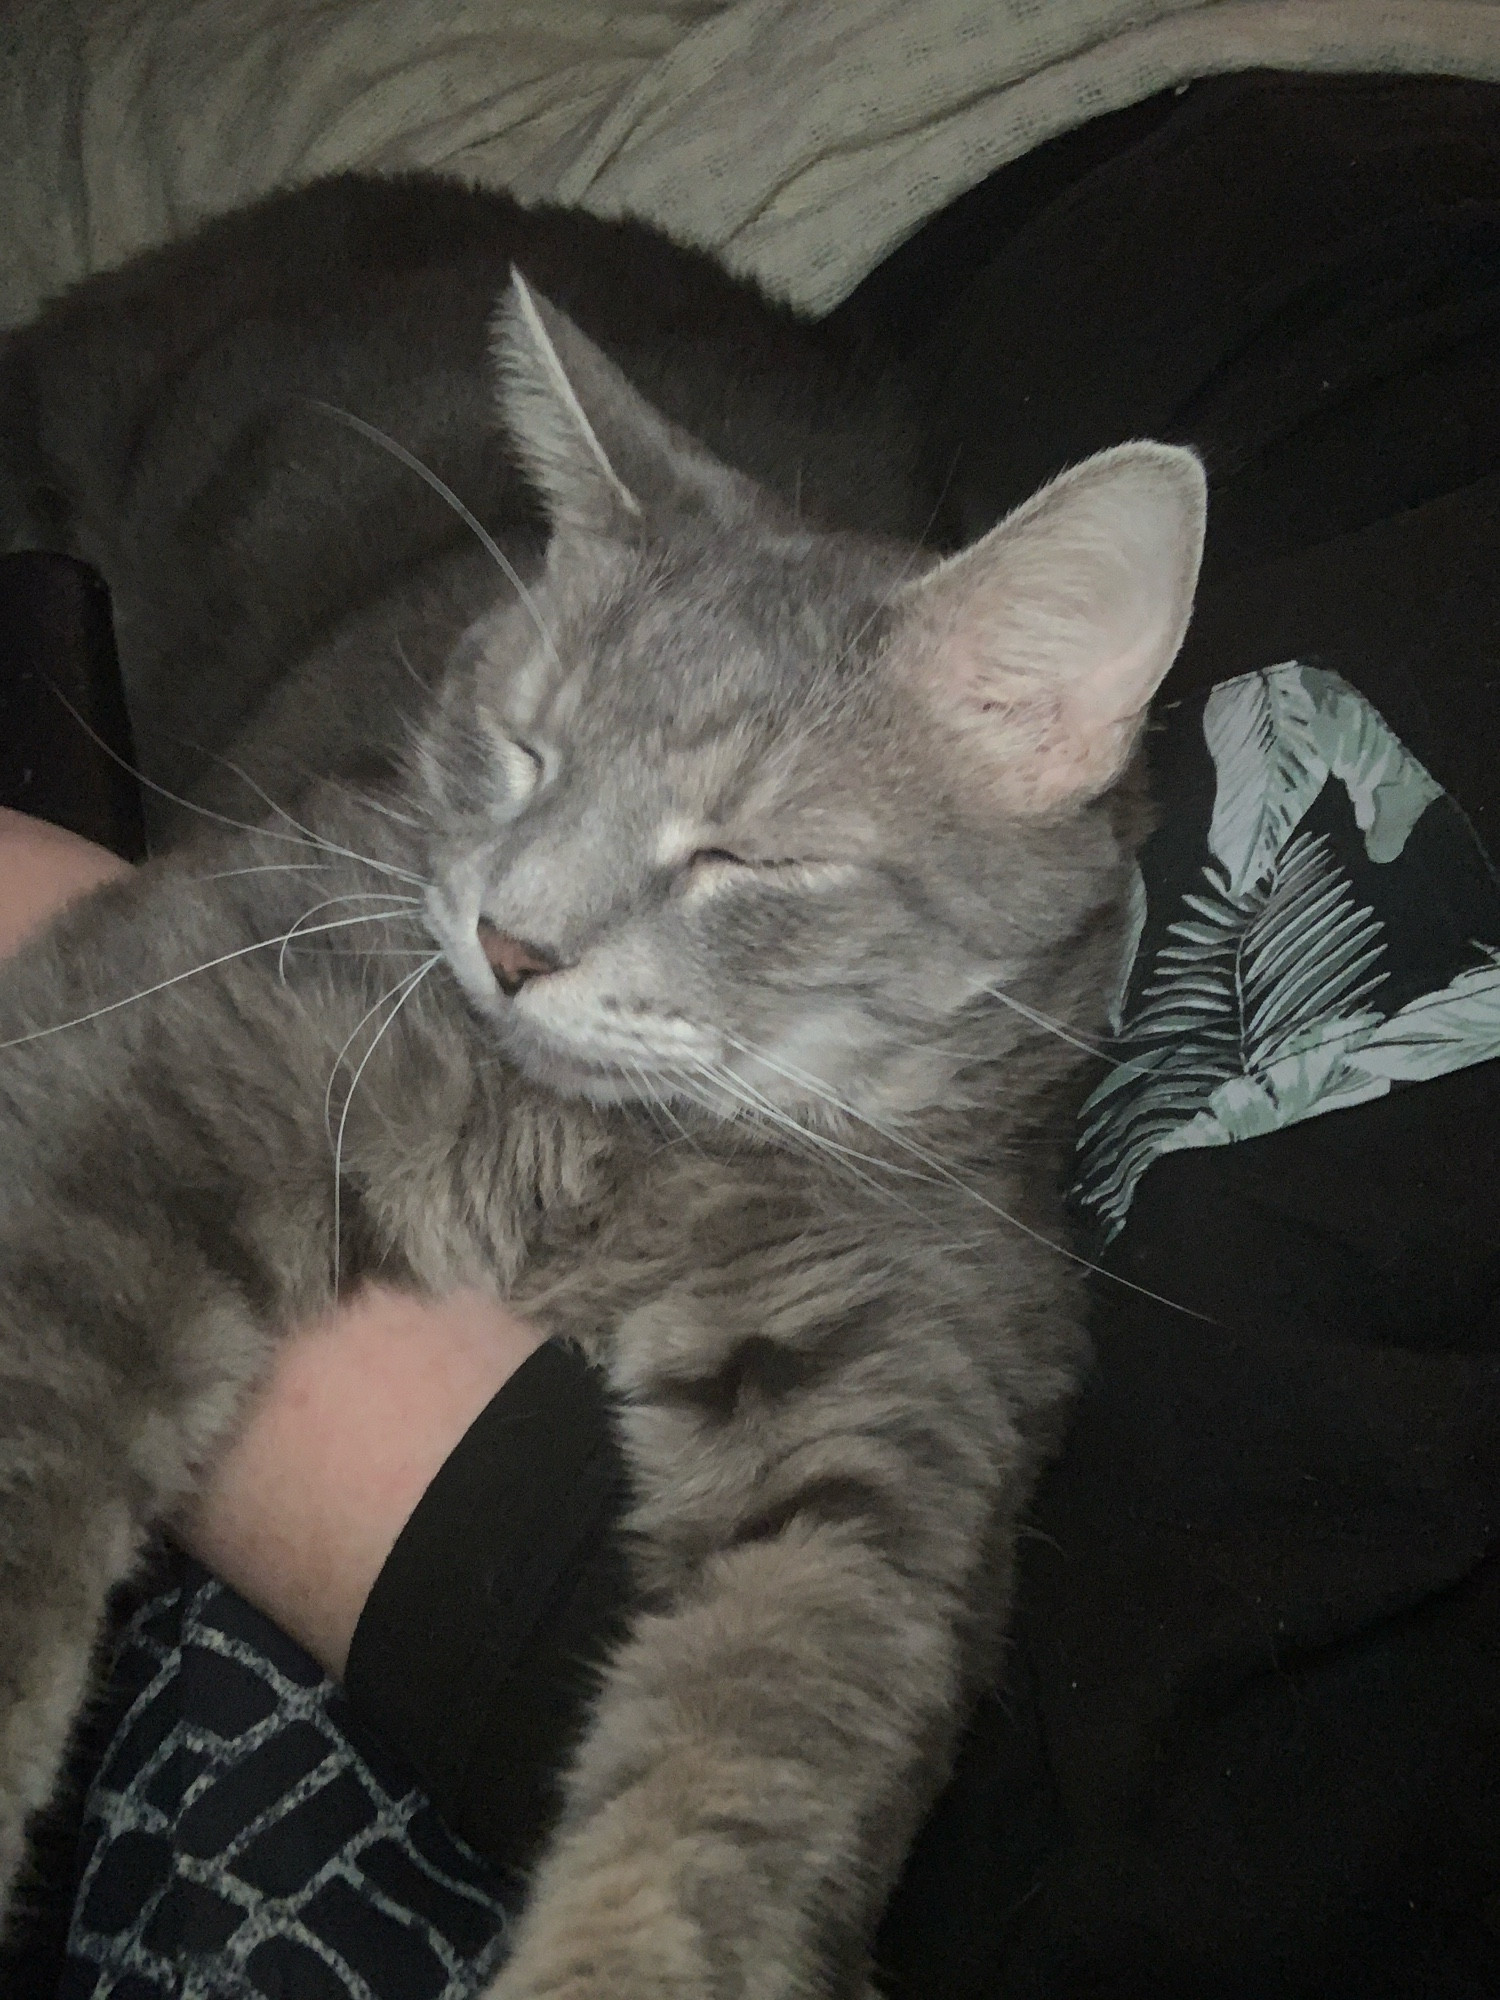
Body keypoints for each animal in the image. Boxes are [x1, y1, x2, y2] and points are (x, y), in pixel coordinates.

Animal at [0, 172, 1208, 2000]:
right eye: (525, 748)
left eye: (740, 855)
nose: (508, 942)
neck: (606, 1154)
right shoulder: (173, 1028)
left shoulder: (905, 1395)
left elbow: (758, 1751)